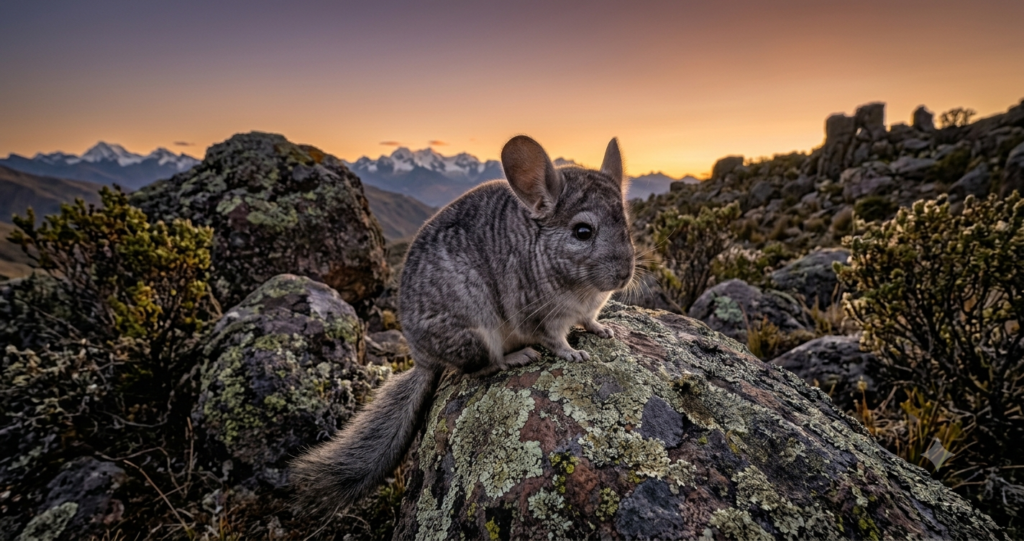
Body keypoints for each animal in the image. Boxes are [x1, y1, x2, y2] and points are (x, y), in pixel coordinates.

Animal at [291, 135, 636, 513]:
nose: (624, 274)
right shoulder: (540, 316)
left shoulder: (587, 310)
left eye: (626, 223)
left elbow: (591, 321)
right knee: (480, 368)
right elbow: (556, 340)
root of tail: (422, 360)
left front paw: (608, 330)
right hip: (478, 332)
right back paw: (518, 357)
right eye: (583, 231)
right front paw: (575, 355)